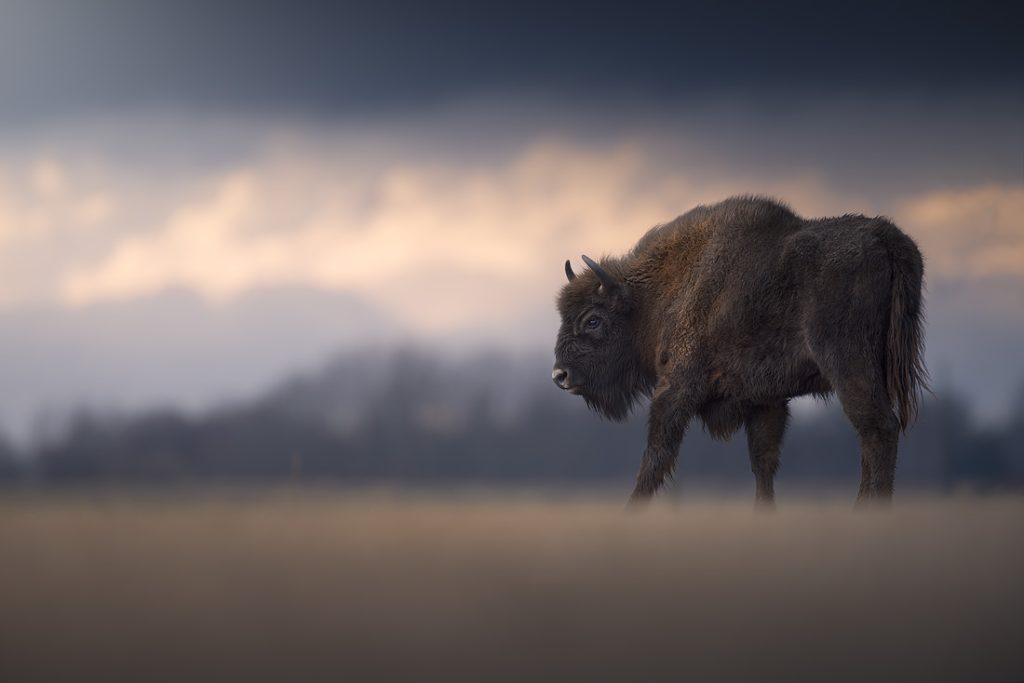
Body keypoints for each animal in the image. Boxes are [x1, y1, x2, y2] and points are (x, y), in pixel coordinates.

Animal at [553, 196, 927, 505]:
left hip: (849, 367)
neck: (657, 297)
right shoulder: (765, 400)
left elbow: (654, 461)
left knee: (878, 428)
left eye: (593, 320)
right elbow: (763, 464)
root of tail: (886, 237)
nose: (560, 374)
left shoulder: (677, 386)